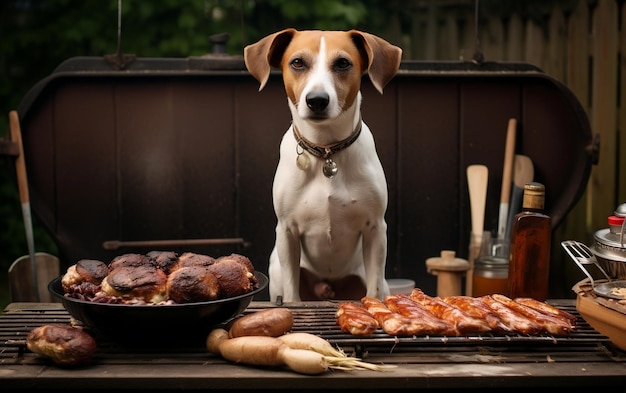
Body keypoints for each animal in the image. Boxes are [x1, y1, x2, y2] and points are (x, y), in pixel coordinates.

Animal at [244, 29, 400, 302]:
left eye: (343, 63)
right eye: (297, 62)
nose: (317, 100)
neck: (326, 151)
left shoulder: (375, 229)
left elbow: (373, 288)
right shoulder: (287, 231)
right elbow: (292, 293)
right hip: (276, 271)